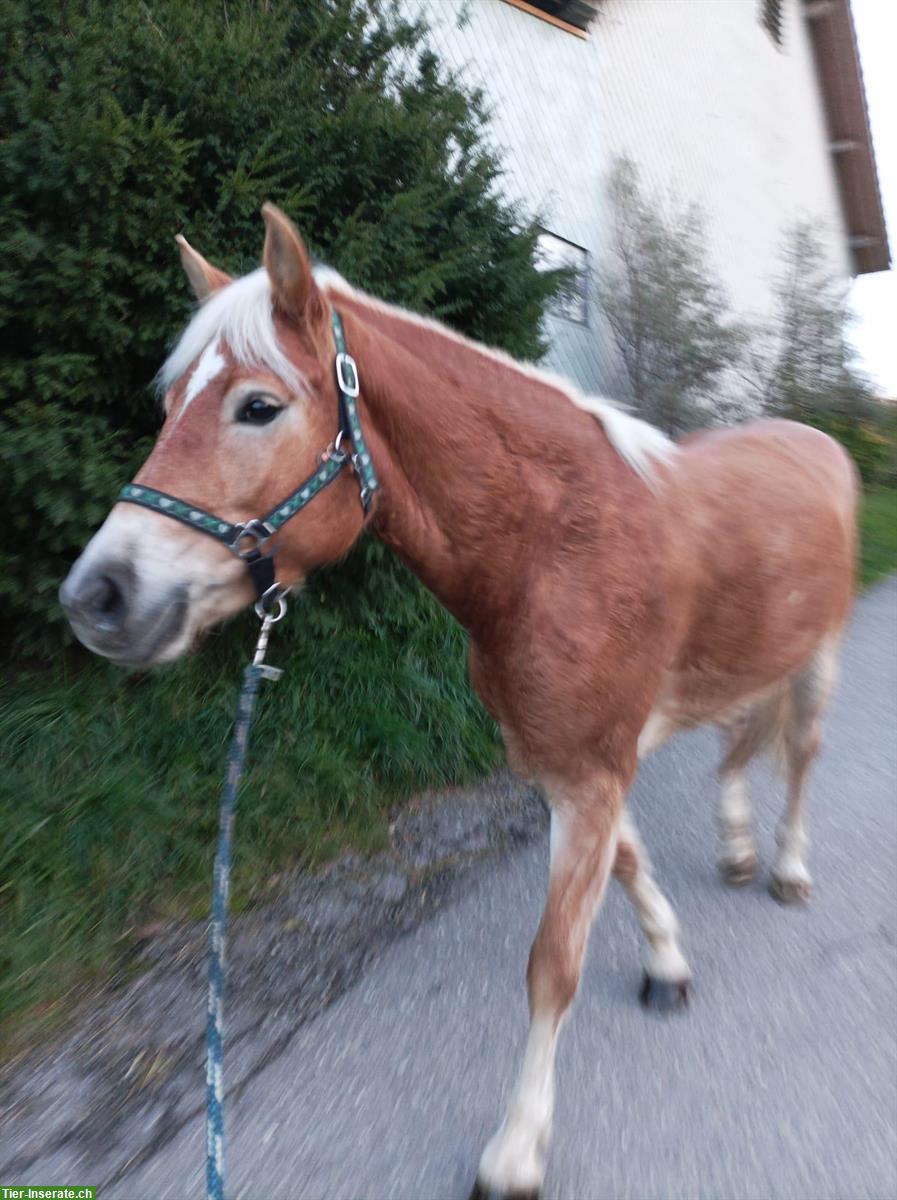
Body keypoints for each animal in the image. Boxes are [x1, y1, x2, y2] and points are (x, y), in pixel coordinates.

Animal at [59, 208, 858, 1200]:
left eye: (258, 407)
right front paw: (668, 963)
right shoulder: (563, 761)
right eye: (170, 407)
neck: (558, 544)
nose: (98, 598)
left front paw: (516, 1150)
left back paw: (784, 867)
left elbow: (553, 964)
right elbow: (629, 860)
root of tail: (813, 440)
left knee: (802, 756)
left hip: (817, 657)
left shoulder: (590, 771)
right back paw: (741, 850)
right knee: (738, 747)